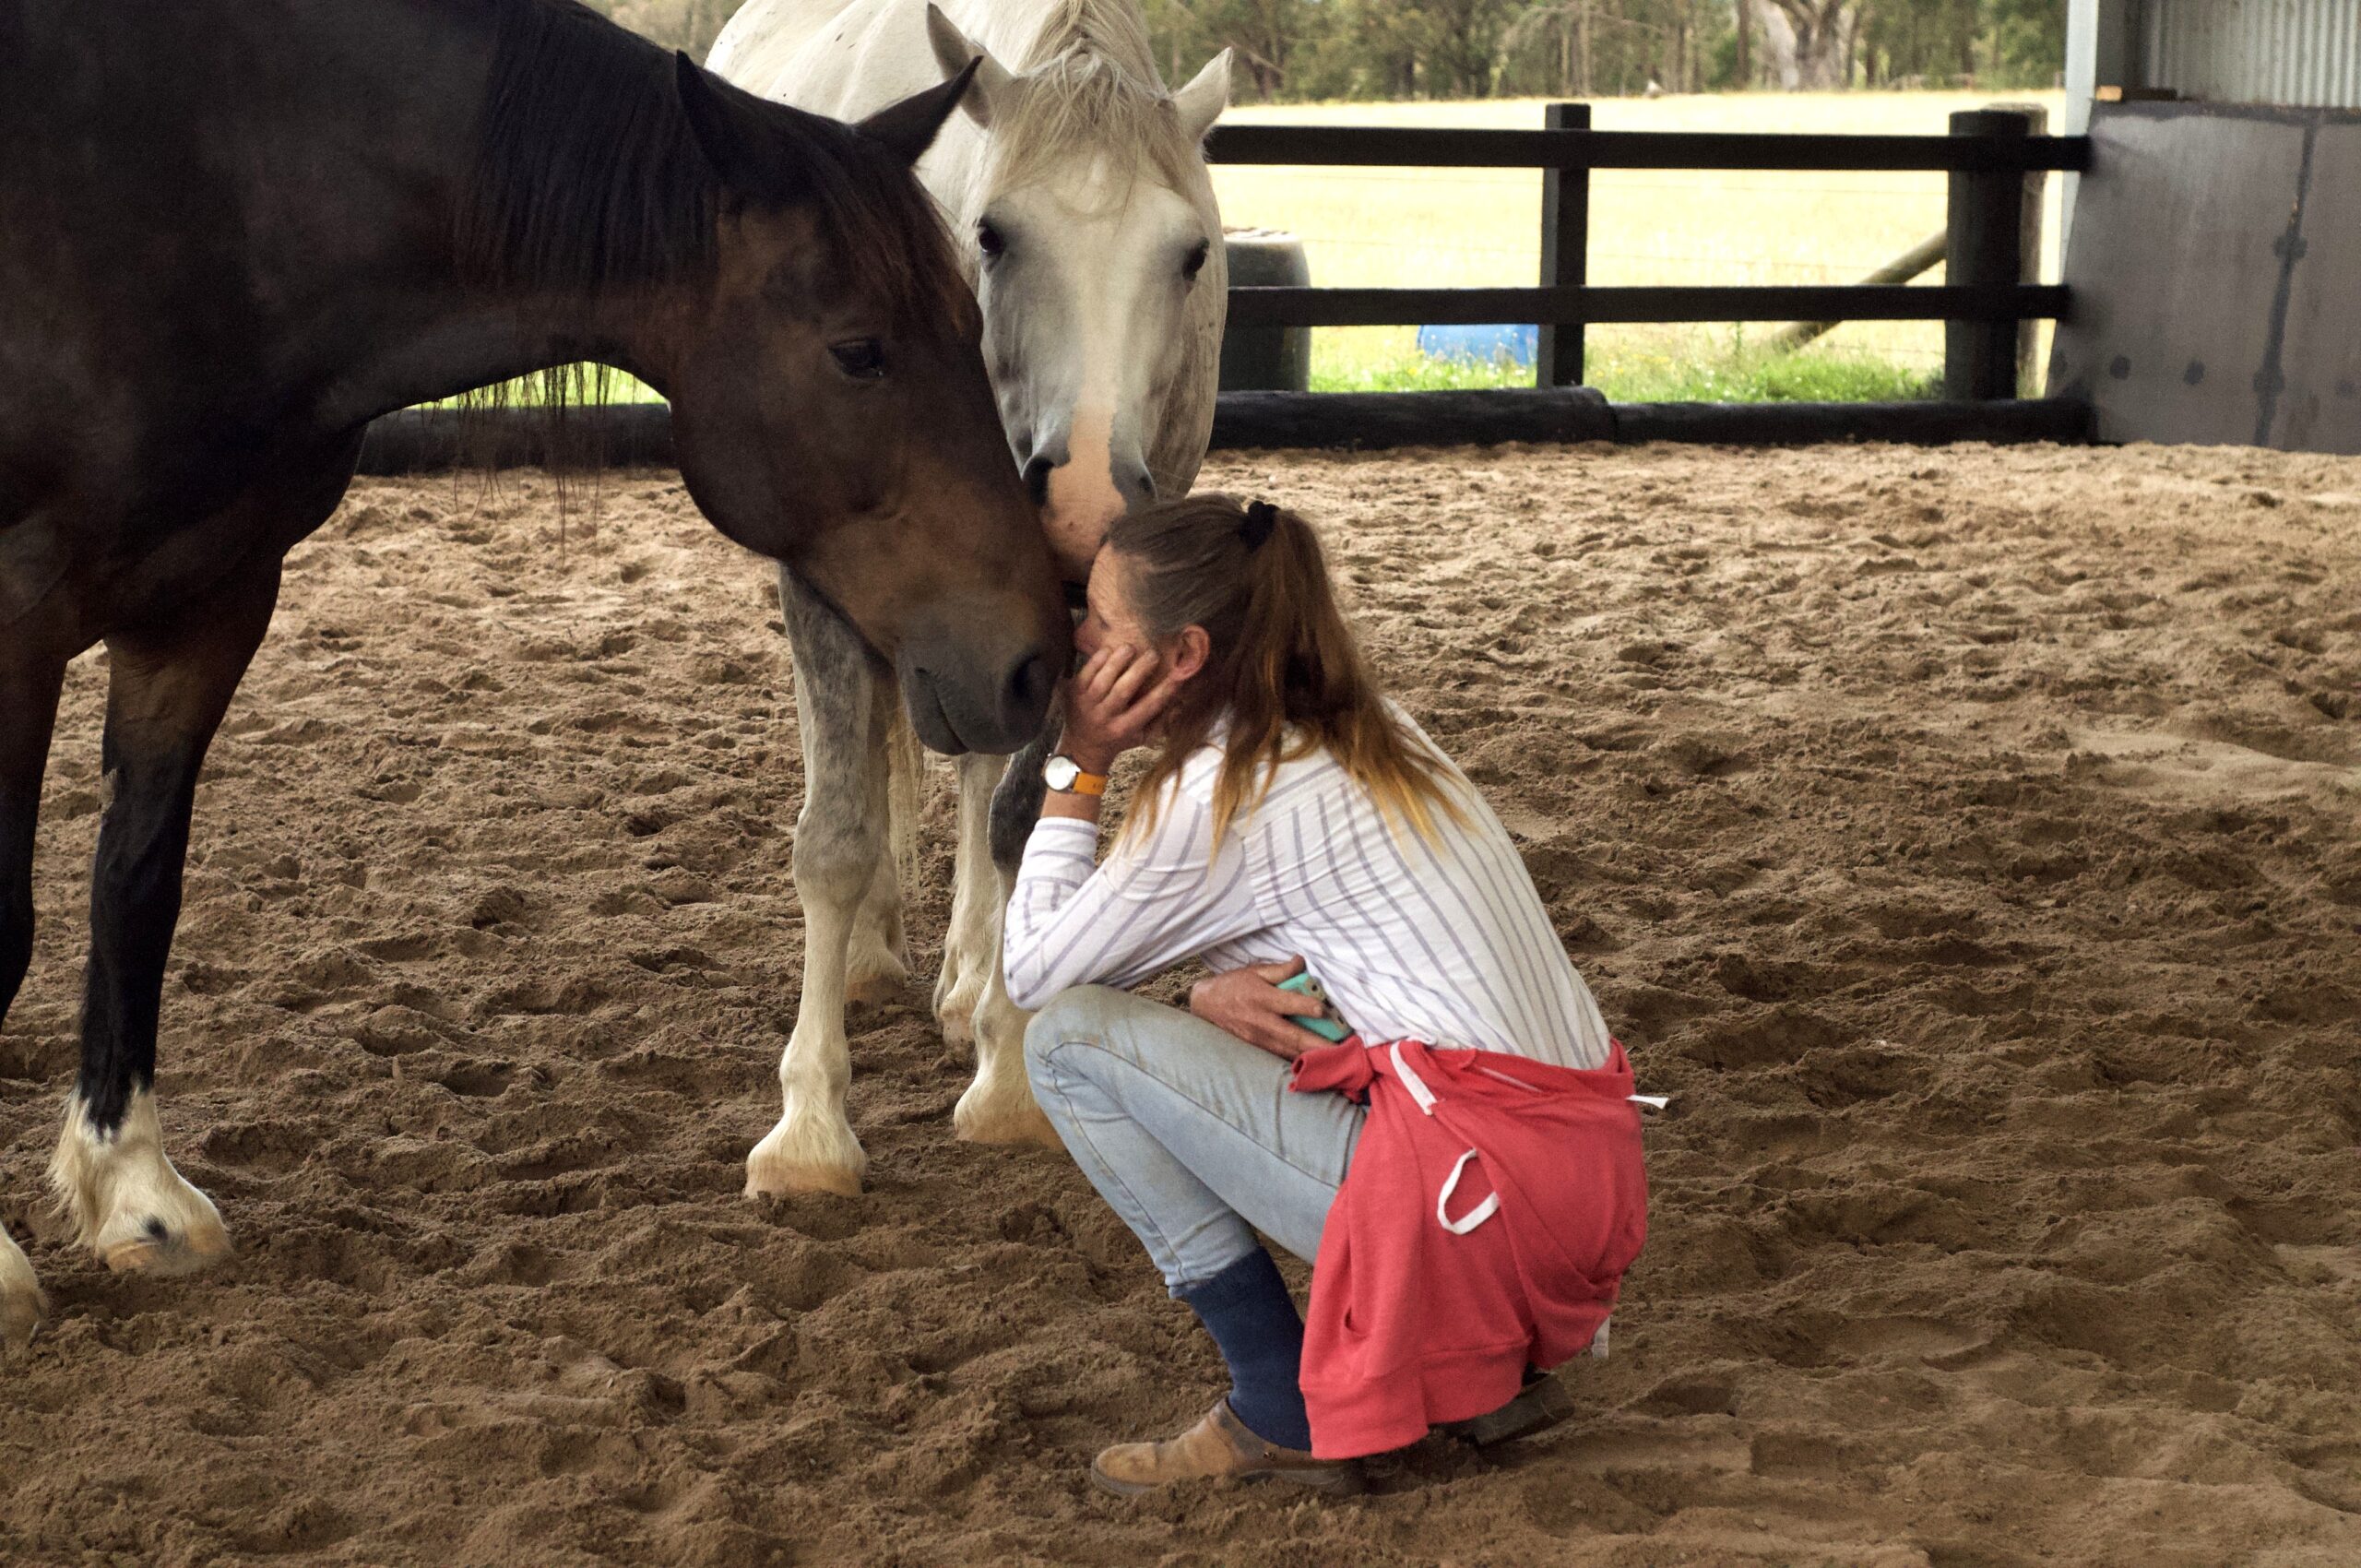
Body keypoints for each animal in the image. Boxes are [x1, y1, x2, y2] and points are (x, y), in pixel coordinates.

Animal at [0, 0, 1066, 1351]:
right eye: (859, 350)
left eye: (970, 331)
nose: (1036, 654)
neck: (195, 186)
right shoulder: (12, 621)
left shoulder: (205, 610)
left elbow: (134, 890)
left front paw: (134, 1190)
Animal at [707, 0, 1230, 1196]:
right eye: (990, 234)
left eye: (1190, 253)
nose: (1085, 500)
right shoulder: (824, 581)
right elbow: (837, 834)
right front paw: (808, 1132)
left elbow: (1017, 811)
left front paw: (1007, 1073)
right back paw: (875, 960)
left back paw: (965, 982)